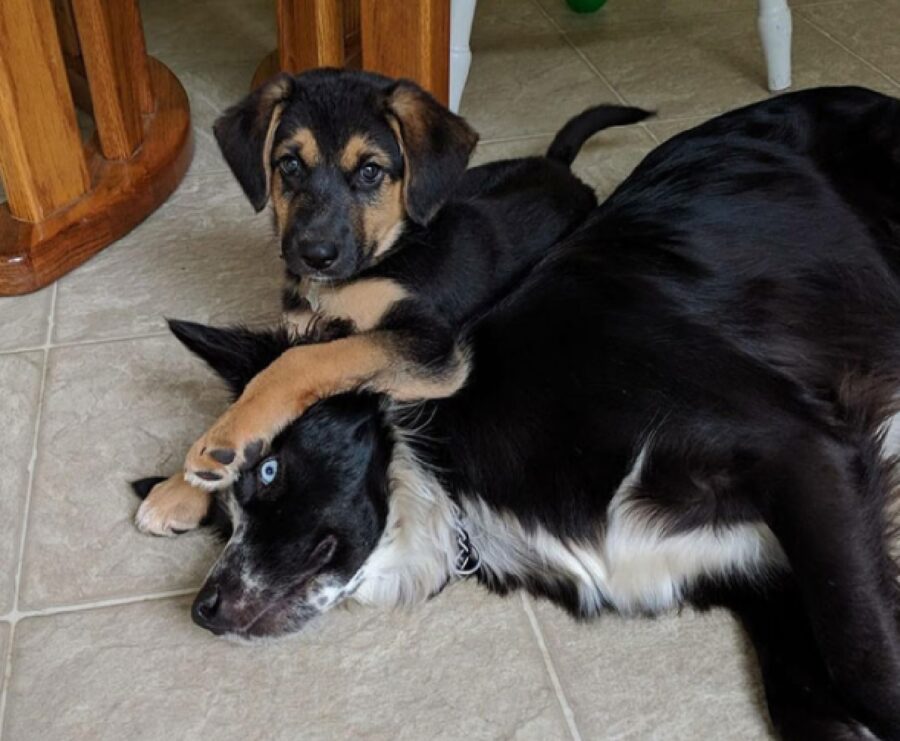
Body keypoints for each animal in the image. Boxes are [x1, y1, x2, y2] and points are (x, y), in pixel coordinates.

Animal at [137, 88, 900, 740]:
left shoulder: (803, 450)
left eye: (269, 473)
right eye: (222, 525)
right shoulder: (762, 578)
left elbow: (865, 661)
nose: (203, 610)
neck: (444, 459)